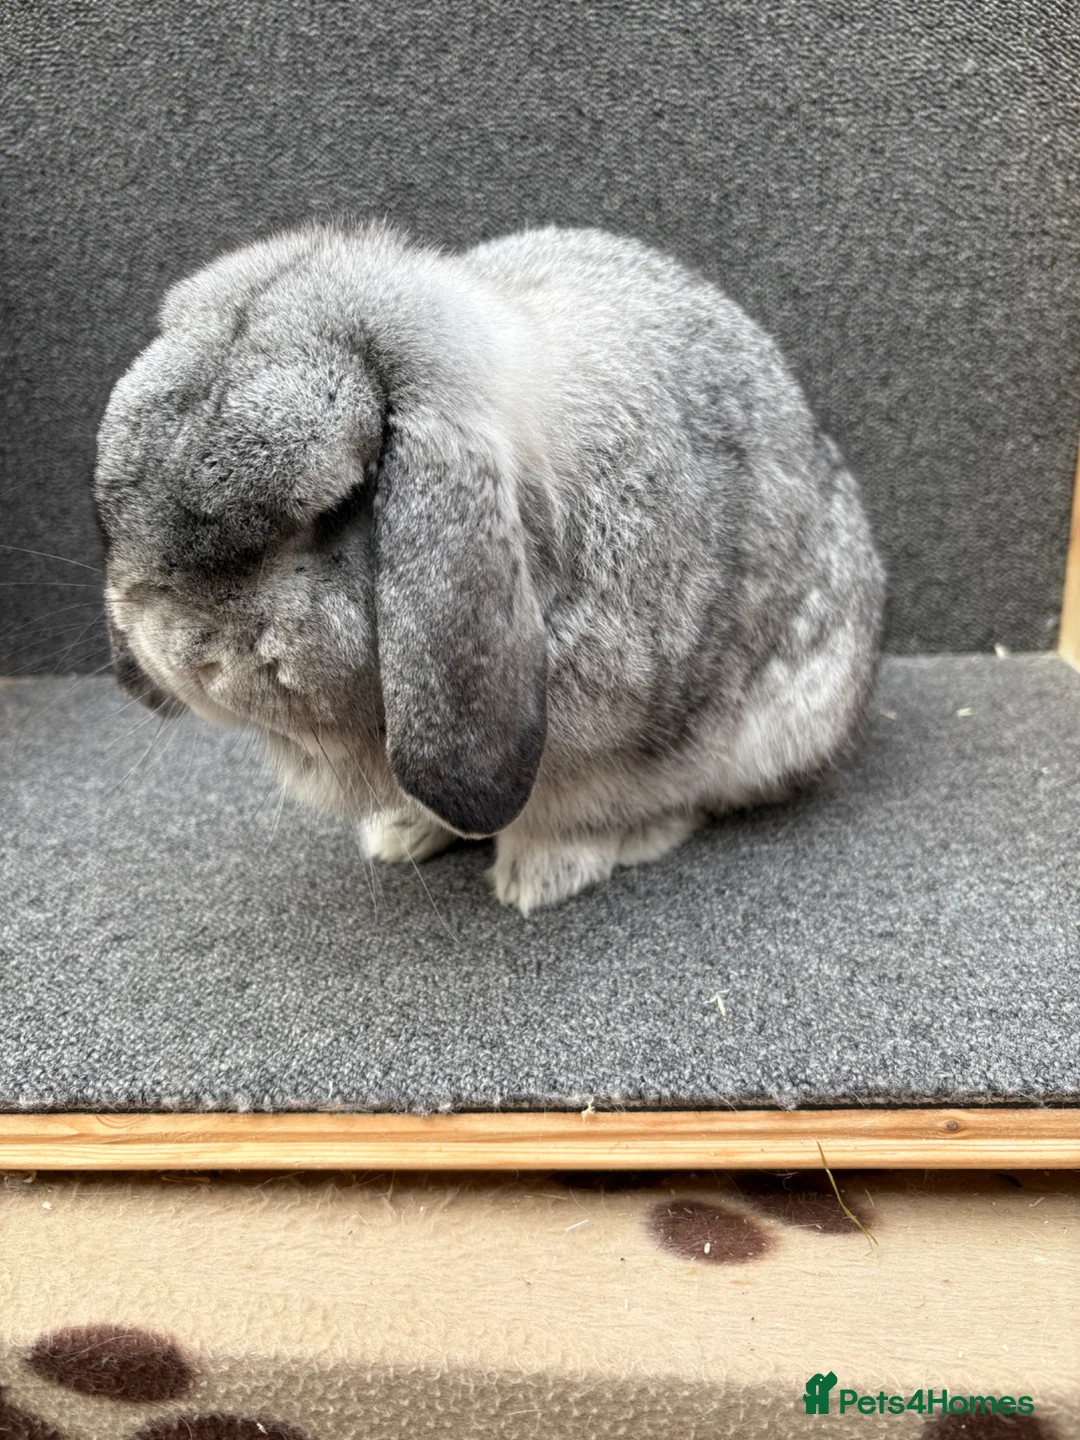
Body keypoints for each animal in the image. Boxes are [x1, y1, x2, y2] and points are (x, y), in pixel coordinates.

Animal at [94, 220, 885, 914]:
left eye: (340, 503)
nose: (187, 654)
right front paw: (398, 835)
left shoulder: (606, 748)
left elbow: (578, 812)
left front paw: (538, 879)